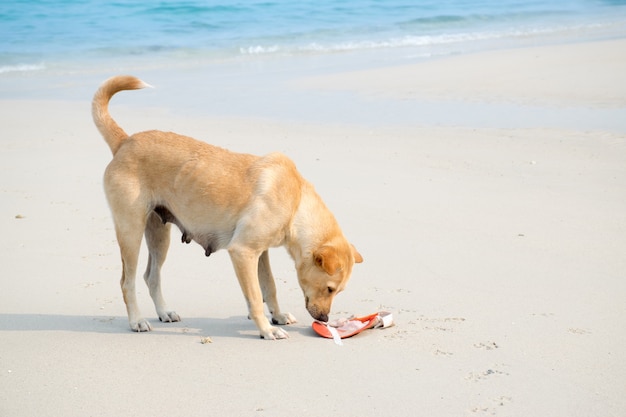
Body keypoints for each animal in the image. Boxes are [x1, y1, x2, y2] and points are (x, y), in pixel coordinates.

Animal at [88, 76, 360, 340]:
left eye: (338, 291)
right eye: (330, 288)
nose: (324, 319)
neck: (295, 201)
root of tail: (125, 141)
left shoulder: (260, 254)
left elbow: (269, 287)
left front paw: (278, 316)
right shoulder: (243, 252)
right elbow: (255, 297)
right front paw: (267, 329)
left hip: (159, 234)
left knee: (151, 276)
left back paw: (164, 312)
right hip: (131, 231)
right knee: (127, 281)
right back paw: (136, 320)